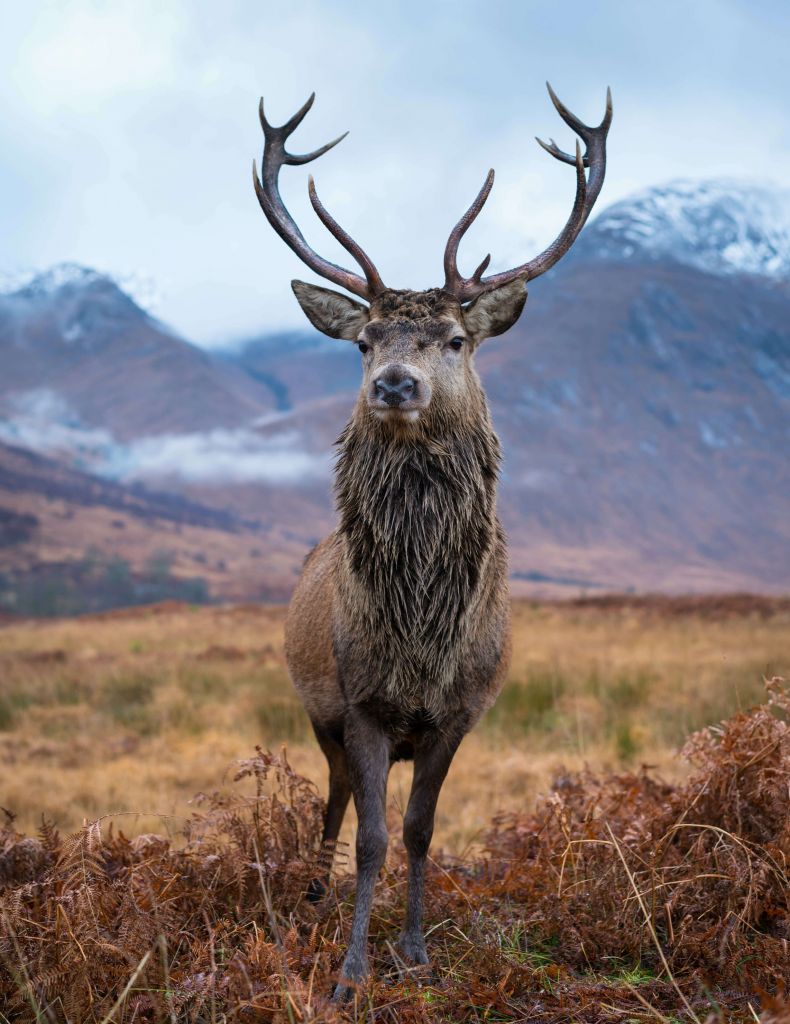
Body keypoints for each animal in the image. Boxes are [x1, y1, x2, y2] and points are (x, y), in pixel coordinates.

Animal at [253, 83, 610, 995]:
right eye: (363, 340)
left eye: (455, 339)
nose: (394, 383)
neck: (421, 637)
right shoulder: (362, 704)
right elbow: (374, 836)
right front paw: (351, 969)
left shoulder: (460, 713)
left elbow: (419, 832)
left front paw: (415, 952)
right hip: (317, 709)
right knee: (333, 797)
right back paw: (312, 893)